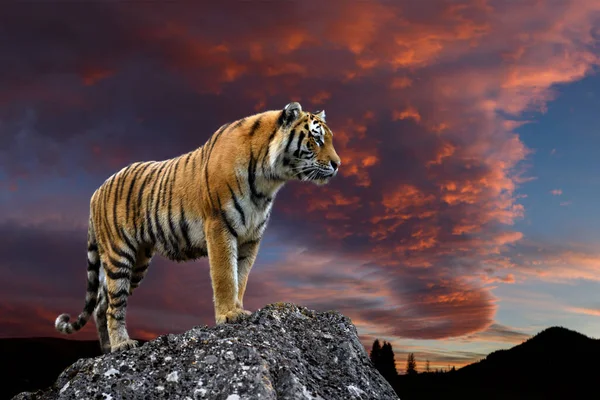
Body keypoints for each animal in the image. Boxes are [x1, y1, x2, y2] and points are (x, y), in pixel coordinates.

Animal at [55, 101, 342, 352]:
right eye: (316, 139)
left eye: (329, 139)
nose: (338, 164)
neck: (268, 181)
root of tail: (96, 191)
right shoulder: (220, 226)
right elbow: (225, 276)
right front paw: (229, 315)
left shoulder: (251, 238)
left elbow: (241, 277)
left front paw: (238, 308)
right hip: (119, 254)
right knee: (114, 304)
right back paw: (121, 345)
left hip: (138, 261)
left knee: (101, 304)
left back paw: (106, 350)